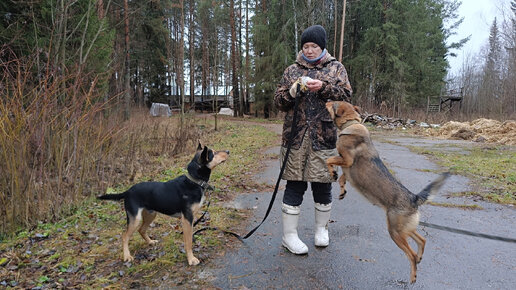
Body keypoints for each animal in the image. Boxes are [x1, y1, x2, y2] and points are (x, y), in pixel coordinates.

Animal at [98, 143, 230, 266]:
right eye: (214, 153)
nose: (228, 151)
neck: (194, 181)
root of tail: (128, 191)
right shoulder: (187, 219)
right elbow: (188, 242)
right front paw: (191, 259)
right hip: (135, 218)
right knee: (125, 236)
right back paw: (127, 256)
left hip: (150, 214)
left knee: (141, 230)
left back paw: (150, 242)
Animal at [324, 100, 450, 284]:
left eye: (333, 102)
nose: (325, 100)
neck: (351, 124)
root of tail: (414, 198)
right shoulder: (347, 168)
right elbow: (341, 177)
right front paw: (341, 188)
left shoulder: (346, 160)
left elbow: (329, 160)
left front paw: (333, 173)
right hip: (404, 229)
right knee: (423, 239)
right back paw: (420, 258)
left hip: (395, 232)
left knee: (411, 254)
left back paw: (413, 276)